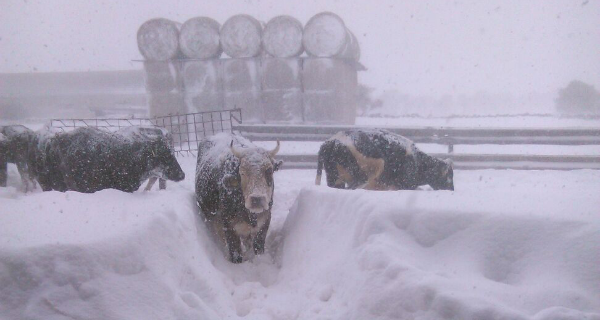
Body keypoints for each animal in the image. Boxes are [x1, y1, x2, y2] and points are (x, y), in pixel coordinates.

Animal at [196, 132, 282, 262]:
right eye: (242, 172)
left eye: (269, 170)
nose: (257, 199)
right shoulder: (228, 225)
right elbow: (235, 251)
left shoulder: (265, 220)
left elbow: (258, 247)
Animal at [316, 129, 452, 191]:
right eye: (449, 177)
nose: (452, 190)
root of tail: (332, 141)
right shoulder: (406, 182)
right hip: (360, 173)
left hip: (334, 175)